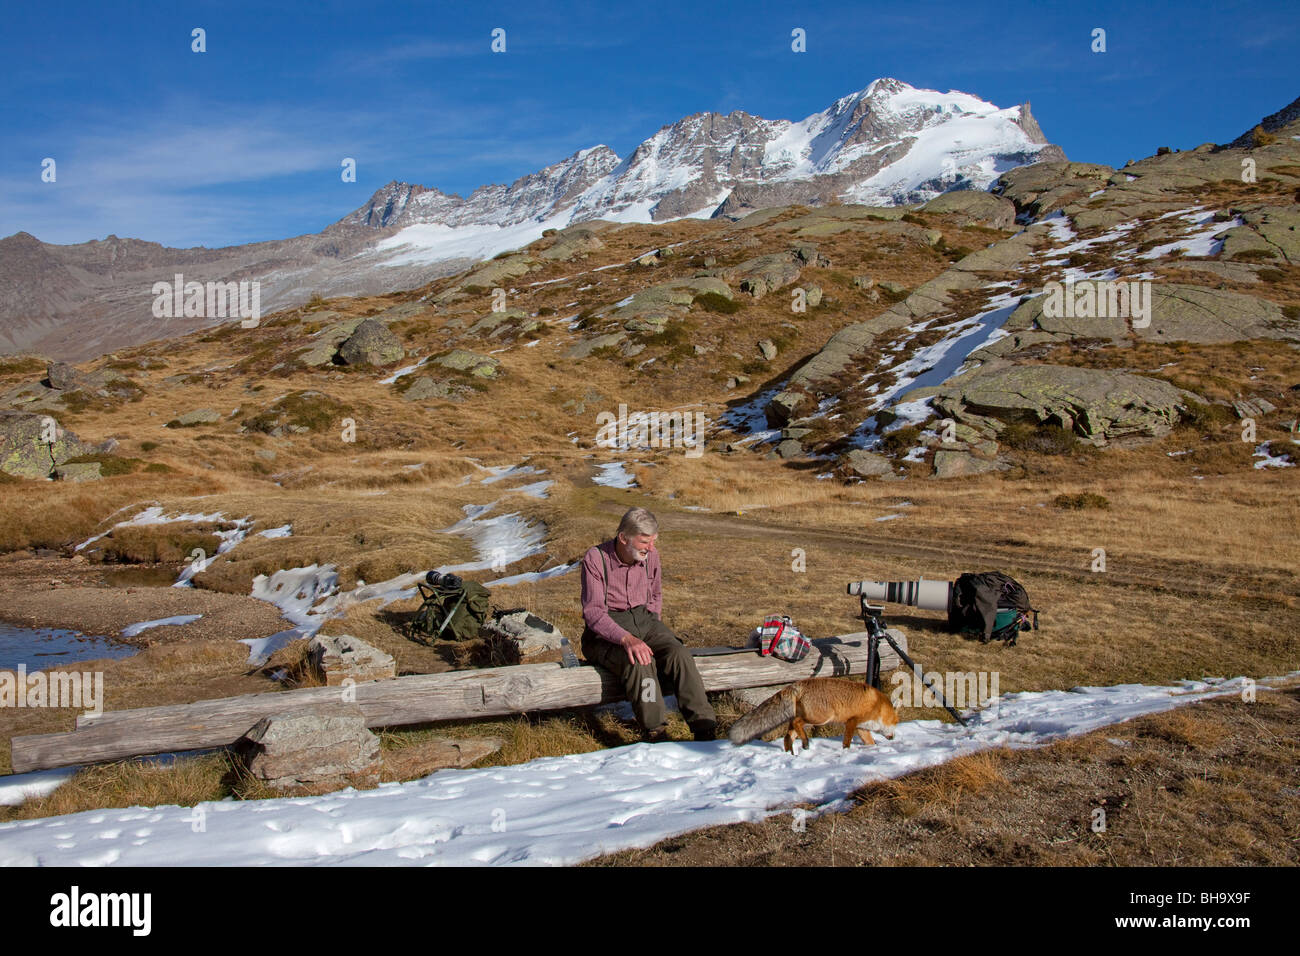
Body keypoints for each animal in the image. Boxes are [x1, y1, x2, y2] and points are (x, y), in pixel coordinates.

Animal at [728, 676, 899, 749]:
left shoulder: (861, 728)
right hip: (820, 718)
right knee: (796, 723)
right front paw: (846, 752)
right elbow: (846, 742)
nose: (893, 738)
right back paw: (804, 743)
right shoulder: (852, 722)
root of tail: (797, 684)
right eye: (896, 724)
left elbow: (870, 743)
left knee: (788, 737)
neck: (878, 706)